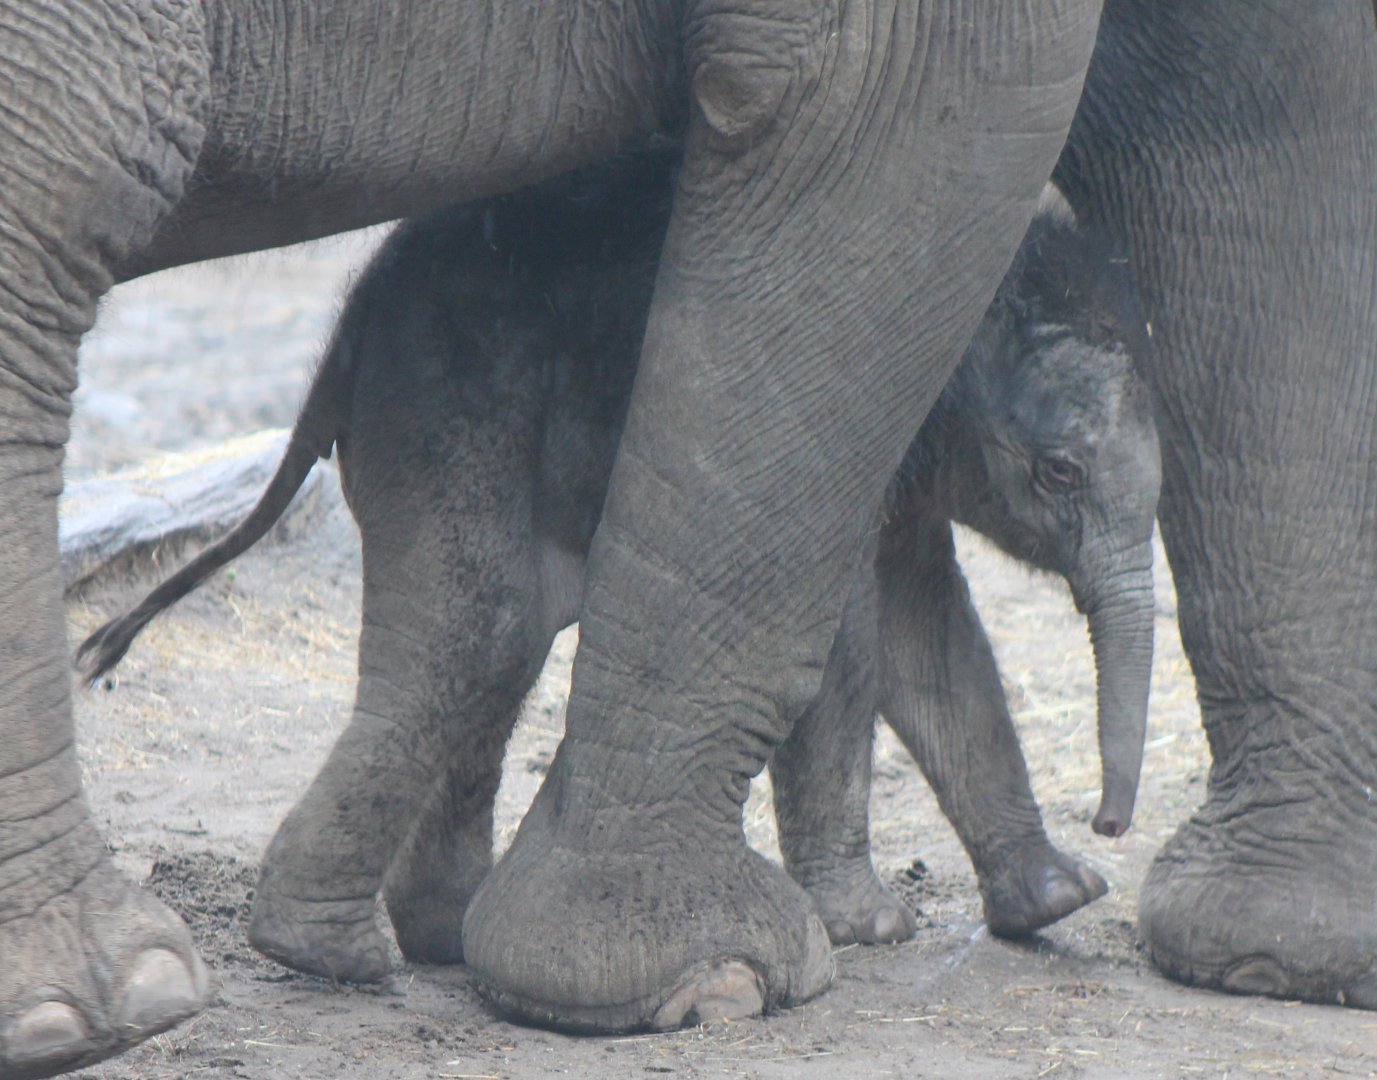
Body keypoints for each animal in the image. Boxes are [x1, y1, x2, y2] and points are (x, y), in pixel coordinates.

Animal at [77, 145, 1158, 981]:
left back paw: (440, 940)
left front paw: (1060, 901)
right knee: (480, 636)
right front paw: (876, 929)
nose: (1112, 825)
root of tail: (345, 324)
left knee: (497, 652)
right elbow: (853, 648)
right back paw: (337, 957)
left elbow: (932, 637)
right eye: (1057, 472)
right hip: (448, 407)